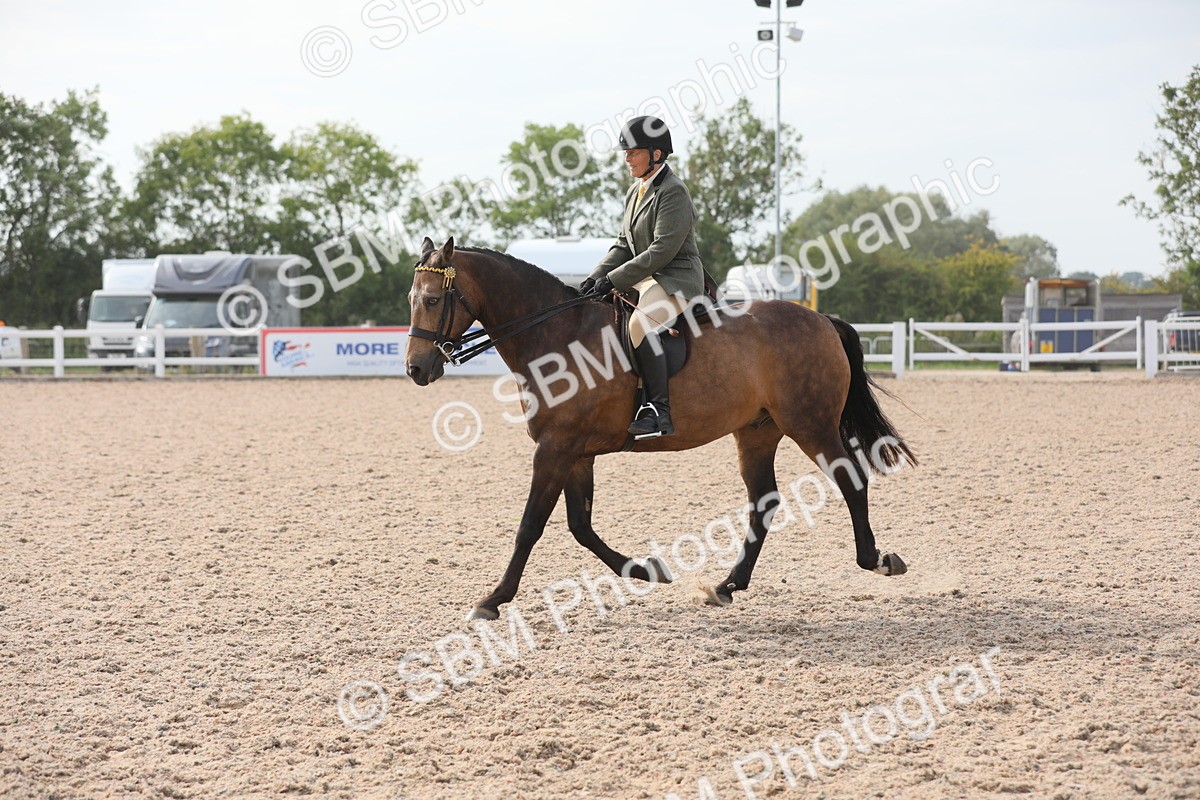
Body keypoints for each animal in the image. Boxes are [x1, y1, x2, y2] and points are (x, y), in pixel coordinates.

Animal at [404, 236, 917, 620]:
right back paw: (728, 584)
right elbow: (580, 525)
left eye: (432, 299)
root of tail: (821, 319)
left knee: (851, 480)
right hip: (757, 432)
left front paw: (493, 600)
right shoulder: (575, 452)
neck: (557, 334)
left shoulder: (555, 448)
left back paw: (877, 560)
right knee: (764, 503)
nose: (416, 369)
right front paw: (646, 569)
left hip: (811, 424)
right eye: (411, 300)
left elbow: (531, 525)